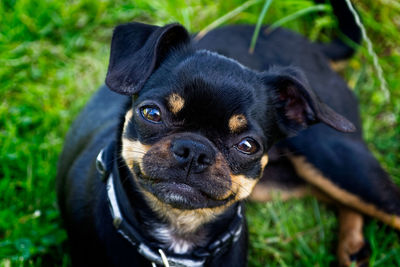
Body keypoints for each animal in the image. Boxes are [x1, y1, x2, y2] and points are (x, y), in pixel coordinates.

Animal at [57, 1, 400, 266]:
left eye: (247, 145)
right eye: (151, 113)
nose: (194, 150)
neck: (179, 238)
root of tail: (313, 47)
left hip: (335, 159)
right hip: (287, 182)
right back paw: (352, 248)